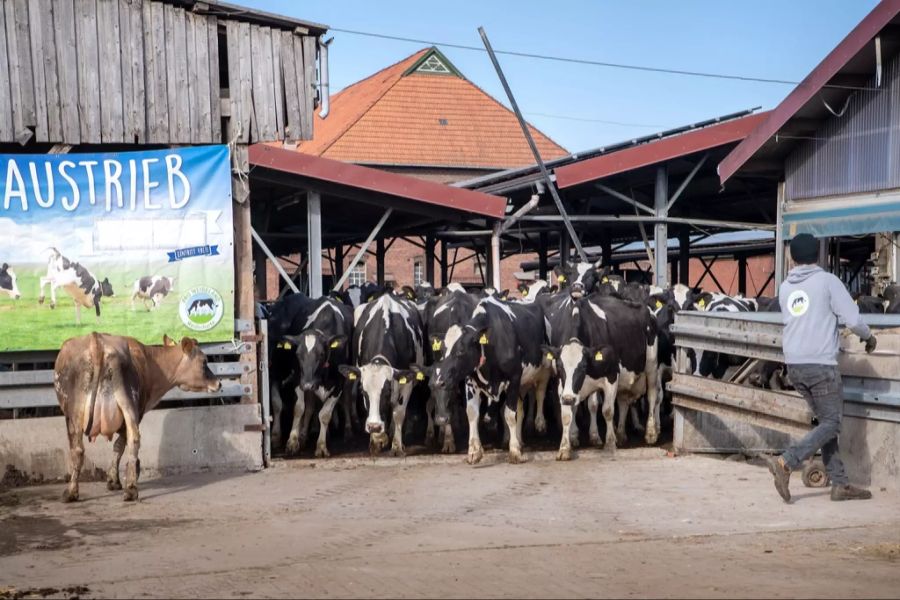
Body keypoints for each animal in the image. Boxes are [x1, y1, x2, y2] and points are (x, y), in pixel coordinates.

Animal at [54, 332, 220, 502]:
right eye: (204, 361)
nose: (219, 383)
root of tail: (97, 341)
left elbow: (118, 446)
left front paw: (113, 480)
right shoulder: (137, 412)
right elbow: (120, 445)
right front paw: (116, 479)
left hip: (76, 412)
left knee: (78, 449)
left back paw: (72, 492)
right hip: (128, 404)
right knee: (134, 439)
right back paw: (131, 489)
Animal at [282, 298, 356, 458]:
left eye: (321, 354)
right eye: (298, 354)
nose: (308, 385)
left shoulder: (338, 383)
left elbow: (325, 414)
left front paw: (321, 446)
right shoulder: (299, 379)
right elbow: (299, 408)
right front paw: (292, 442)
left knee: (346, 399)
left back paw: (347, 430)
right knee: (309, 407)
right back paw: (303, 435)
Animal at [340, 292, 424, 458]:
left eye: (387, 391)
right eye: (363, 392)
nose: (374, 426)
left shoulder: (406, 382)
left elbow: (398, 413)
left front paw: (397, 446)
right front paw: (376, 440)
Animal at [426, 296, 552, 464]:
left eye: (461, 350)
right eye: (442, 350)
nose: (440, 381)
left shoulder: (514, 378)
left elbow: (509, 414)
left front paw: (514, 452)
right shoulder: (470, 381)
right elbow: (472, 412)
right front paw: (474, 451)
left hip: (544, 368)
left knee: (540, 392)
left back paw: (539, 423)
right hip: (522, 383)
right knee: (520, 409)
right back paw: (519, 440)